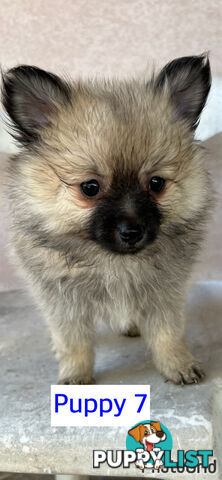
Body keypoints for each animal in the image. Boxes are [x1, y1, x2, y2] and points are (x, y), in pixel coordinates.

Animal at [1, 55, 212, 386]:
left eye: (156, 184)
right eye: (90, 187)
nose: (132, 231)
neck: (115, 263)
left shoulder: (166, 294)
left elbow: (168, 334)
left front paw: (178, 365)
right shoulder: (64, 302)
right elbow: (73, 342)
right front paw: (75, 375)